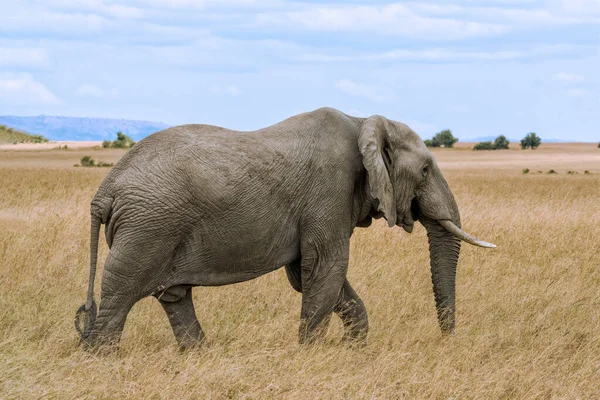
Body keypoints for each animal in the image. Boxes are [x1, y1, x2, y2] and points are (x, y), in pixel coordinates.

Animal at [75, 106, 494, 350]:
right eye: (425, 169)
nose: (446, 341)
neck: (364, 122)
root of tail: (104, 191)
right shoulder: (330, 191)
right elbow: (325, 268)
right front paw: (312, 356)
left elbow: (310, 274)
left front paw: (351, 352)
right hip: (148, 228)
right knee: (121, 293)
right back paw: (101, 360)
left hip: (155, 226)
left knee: (174, 296)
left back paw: (199, 356)